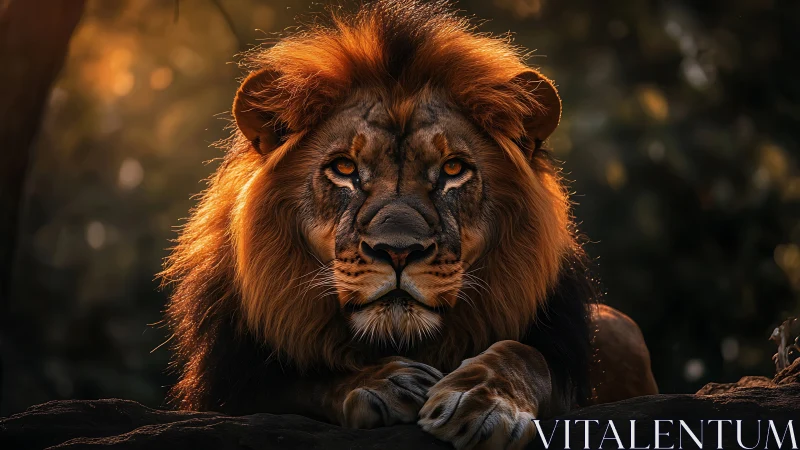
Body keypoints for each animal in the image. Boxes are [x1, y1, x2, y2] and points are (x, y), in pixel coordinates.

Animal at [161, 1, 657, 448]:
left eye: (453, 169)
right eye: (344, 168)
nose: (397, 251)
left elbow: (524, 354)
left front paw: (480, 402)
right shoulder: (233, 387)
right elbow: (307, 380)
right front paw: (385, 383)